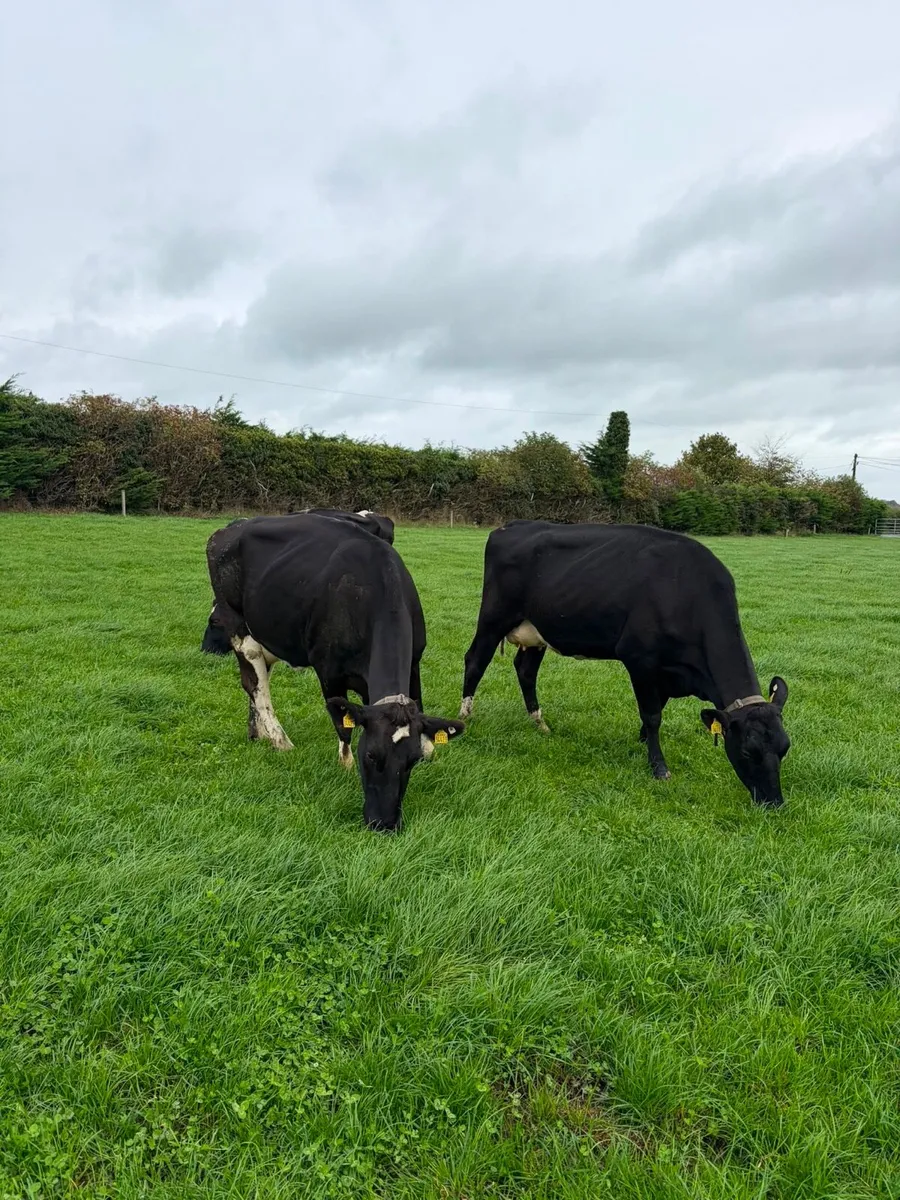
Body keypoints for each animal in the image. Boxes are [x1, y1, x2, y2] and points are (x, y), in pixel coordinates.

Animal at [201, 509, 464, 830]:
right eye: (370, 755)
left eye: (410, 762)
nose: (385, 824)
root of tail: (228, 528)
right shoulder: (328, 673)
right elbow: (342, 724)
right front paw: (345, 764)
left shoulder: (414, 661)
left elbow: (419, 706)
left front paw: (428, 750)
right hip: (240, 628)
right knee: (256, 685)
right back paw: (280, 741)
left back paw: (257, 733)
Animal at [459, 520, 790, 807]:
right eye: (747, 751)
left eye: (785, 748)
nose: (773, 802)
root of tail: (512, 525)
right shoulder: (639, 659)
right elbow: (653, 714)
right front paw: (658, 766)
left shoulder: (666, 672)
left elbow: (656, 710)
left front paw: (643, 742)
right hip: (494, 617)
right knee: (475, 660)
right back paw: (465, 716)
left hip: (538, 630)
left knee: (525, 670)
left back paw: (539, 723)